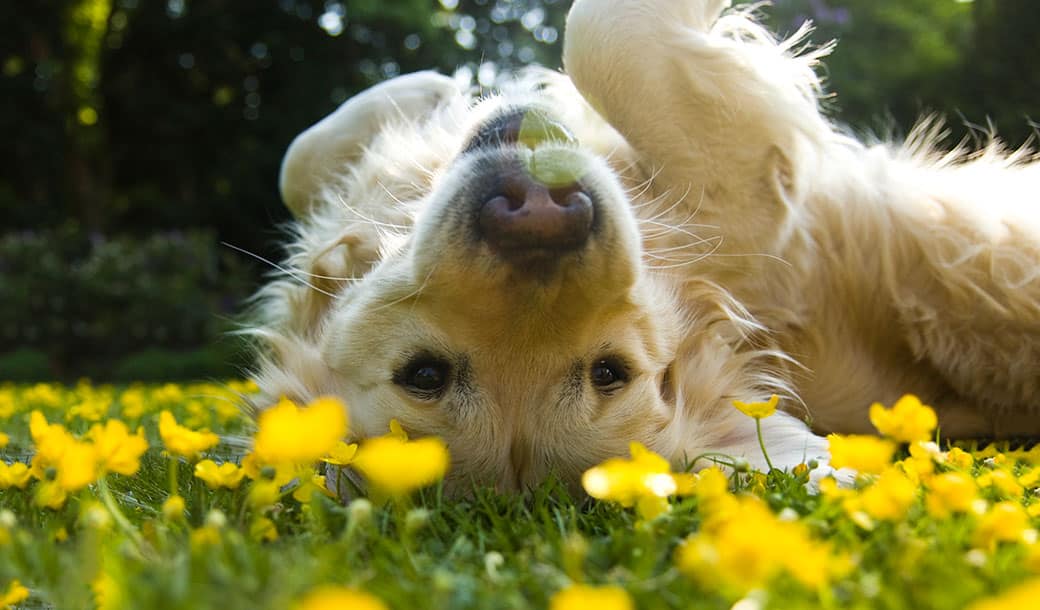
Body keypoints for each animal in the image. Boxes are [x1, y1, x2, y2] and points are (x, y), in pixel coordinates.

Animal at [249, 0, 1040, 492]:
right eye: (423, 373)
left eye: (608, 373)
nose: (541, 217)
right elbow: (605, 36)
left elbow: (296, 158)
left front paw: (429, 87)